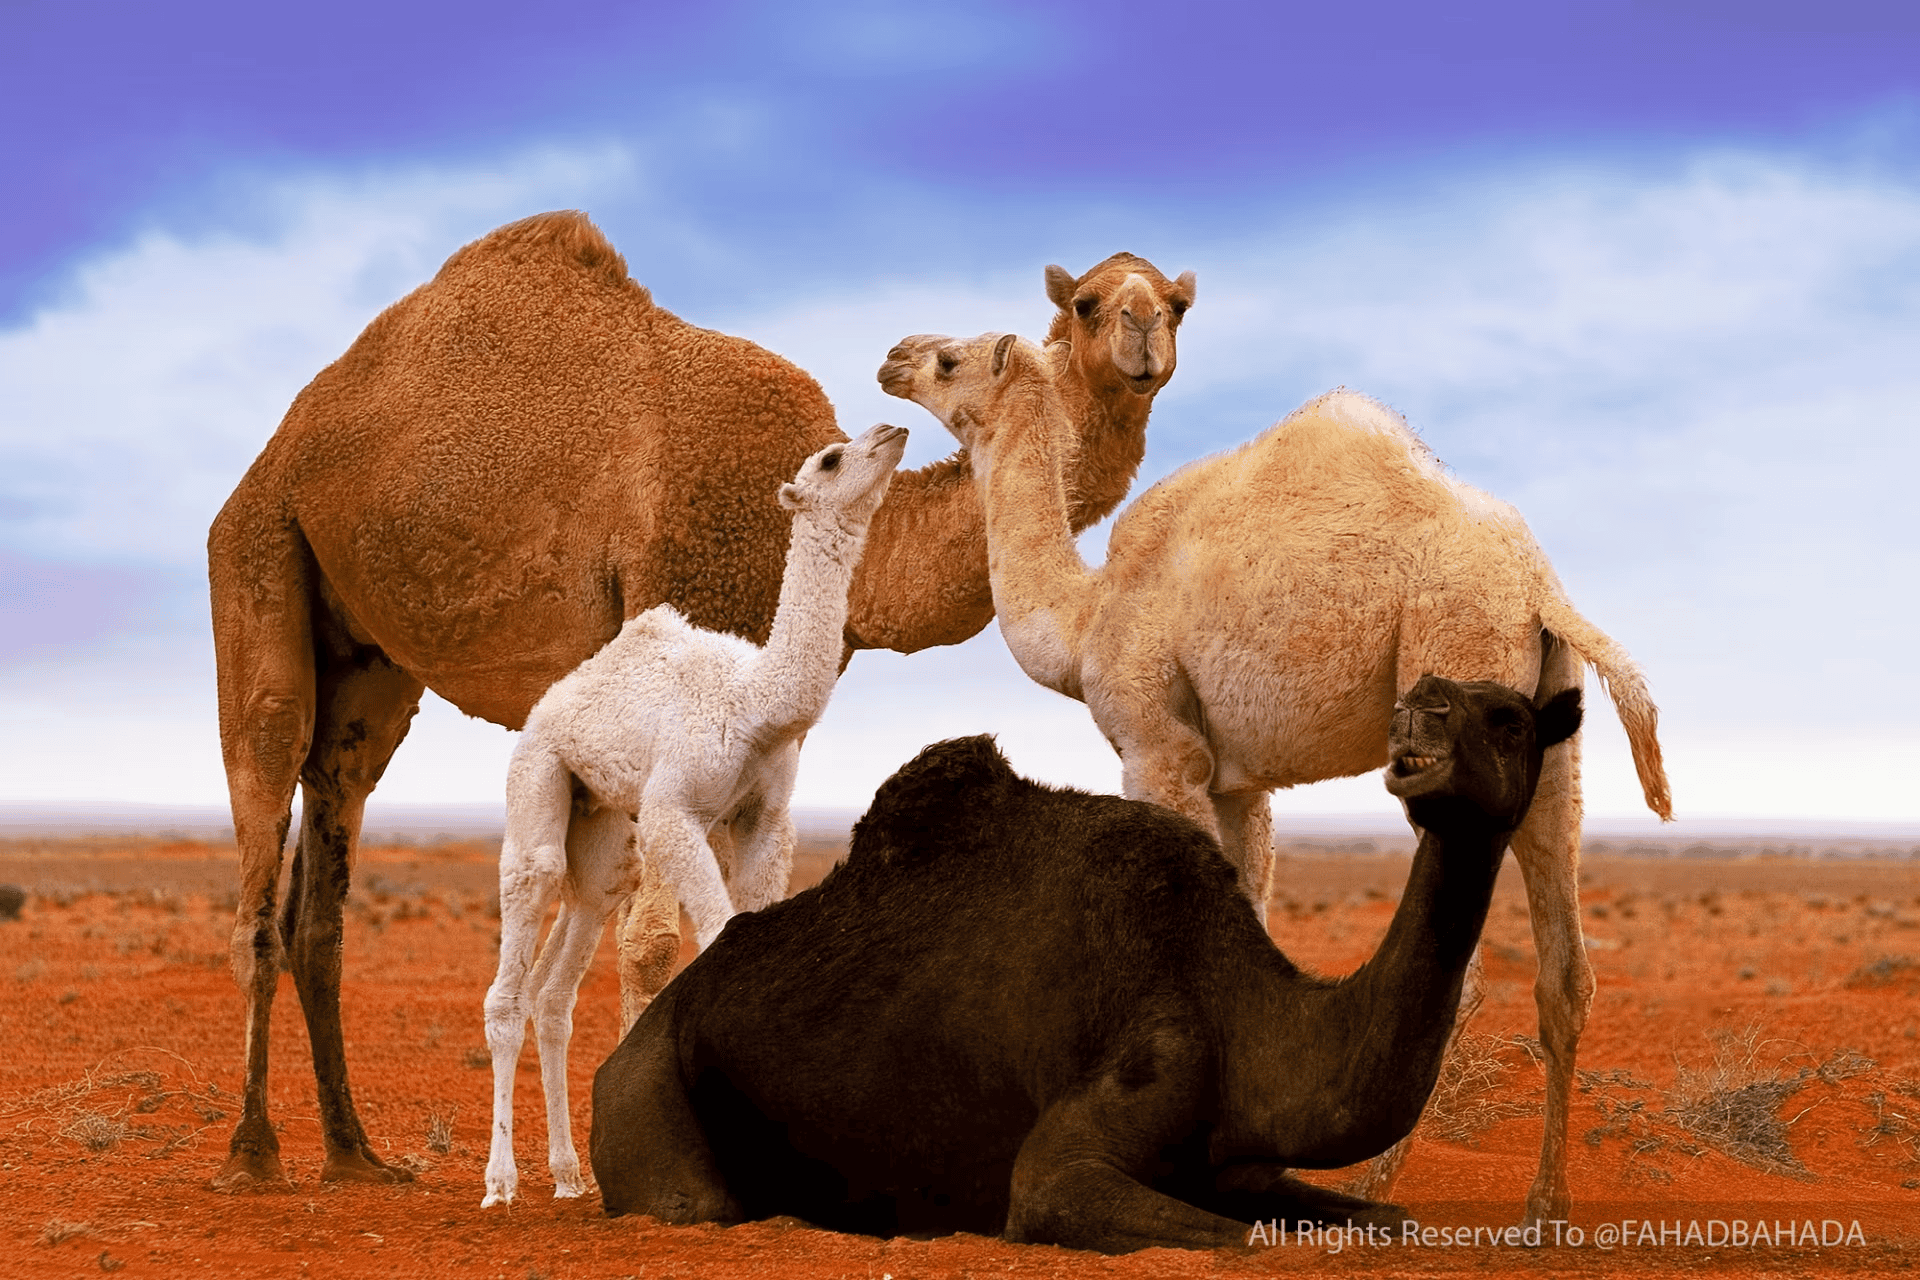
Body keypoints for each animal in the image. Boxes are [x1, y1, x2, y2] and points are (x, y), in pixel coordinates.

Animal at [476, 422, 902, 1212]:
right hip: (539, 778)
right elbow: (716, 931)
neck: (756, 702)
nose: (892, 431)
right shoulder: (674, 809)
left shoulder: (766, 820)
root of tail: (551, 700)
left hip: (602, 832)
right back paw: (501, 1184)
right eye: (832, 459)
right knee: (513, 965)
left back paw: (570, 1176)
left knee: (557, 984)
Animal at [591, 675, 1582, 1258]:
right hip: (650, 1089)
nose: (1422, 711)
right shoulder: (1101, 1123)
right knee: (691, 1200)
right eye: (1427, 699)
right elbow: (1241, 1240)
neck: (1245, 1012)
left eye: (1510, 717)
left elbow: (1388, 1223)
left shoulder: (1240, 1168)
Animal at [879, 333, 1674, 1228]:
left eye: (950, 360)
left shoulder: (1158, 749)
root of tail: (1541, 588)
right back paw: (1544, 1206)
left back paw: (1373, 1186)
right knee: (1564, 962)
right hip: (1546, 724)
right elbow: (1248, 913)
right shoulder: (1236, 781)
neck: (1084, 618)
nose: (894, 356)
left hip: (1455, 678)